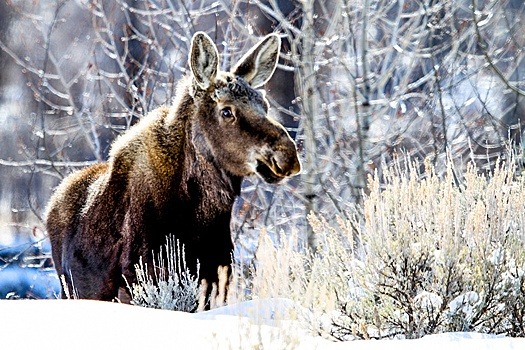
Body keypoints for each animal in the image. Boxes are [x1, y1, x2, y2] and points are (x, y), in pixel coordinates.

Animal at [46, 31, 298, 308]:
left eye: (265, 104)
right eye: (226, 111)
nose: (287, 154)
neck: (199, 218)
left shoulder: (217, 275)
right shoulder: (140, 279)